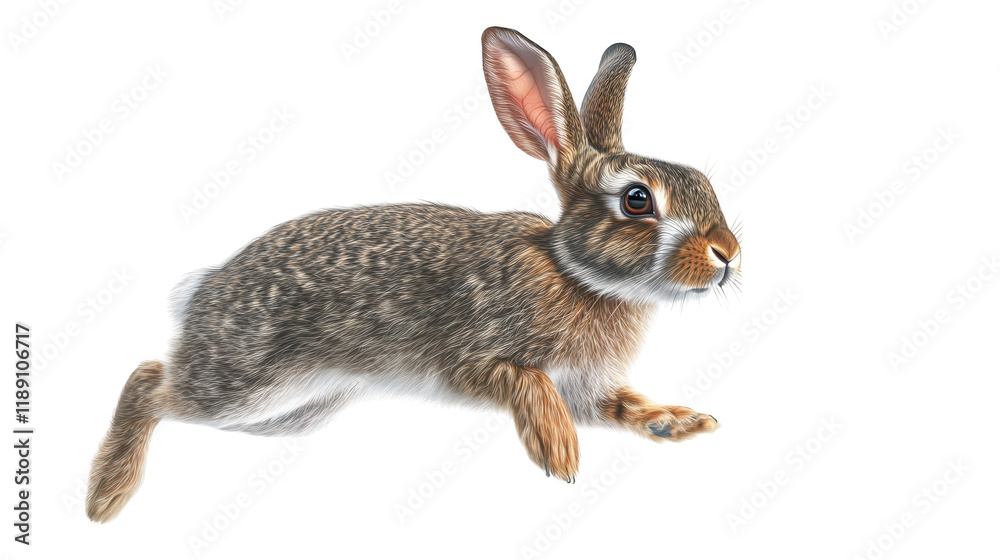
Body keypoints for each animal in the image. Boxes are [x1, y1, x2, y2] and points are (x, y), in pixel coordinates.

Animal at [86, 26, 742, 523]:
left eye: (703, 183)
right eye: (637, 200)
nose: (729, 254)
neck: (575, 272)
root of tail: (204, 291)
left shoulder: (587, 386)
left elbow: (620, 407)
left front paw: (676, 423)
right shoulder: (470, 356)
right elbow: (523, 380)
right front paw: (557, 448)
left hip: (287, 415)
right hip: (243, 384)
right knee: (146, 381)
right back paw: (106, 495)